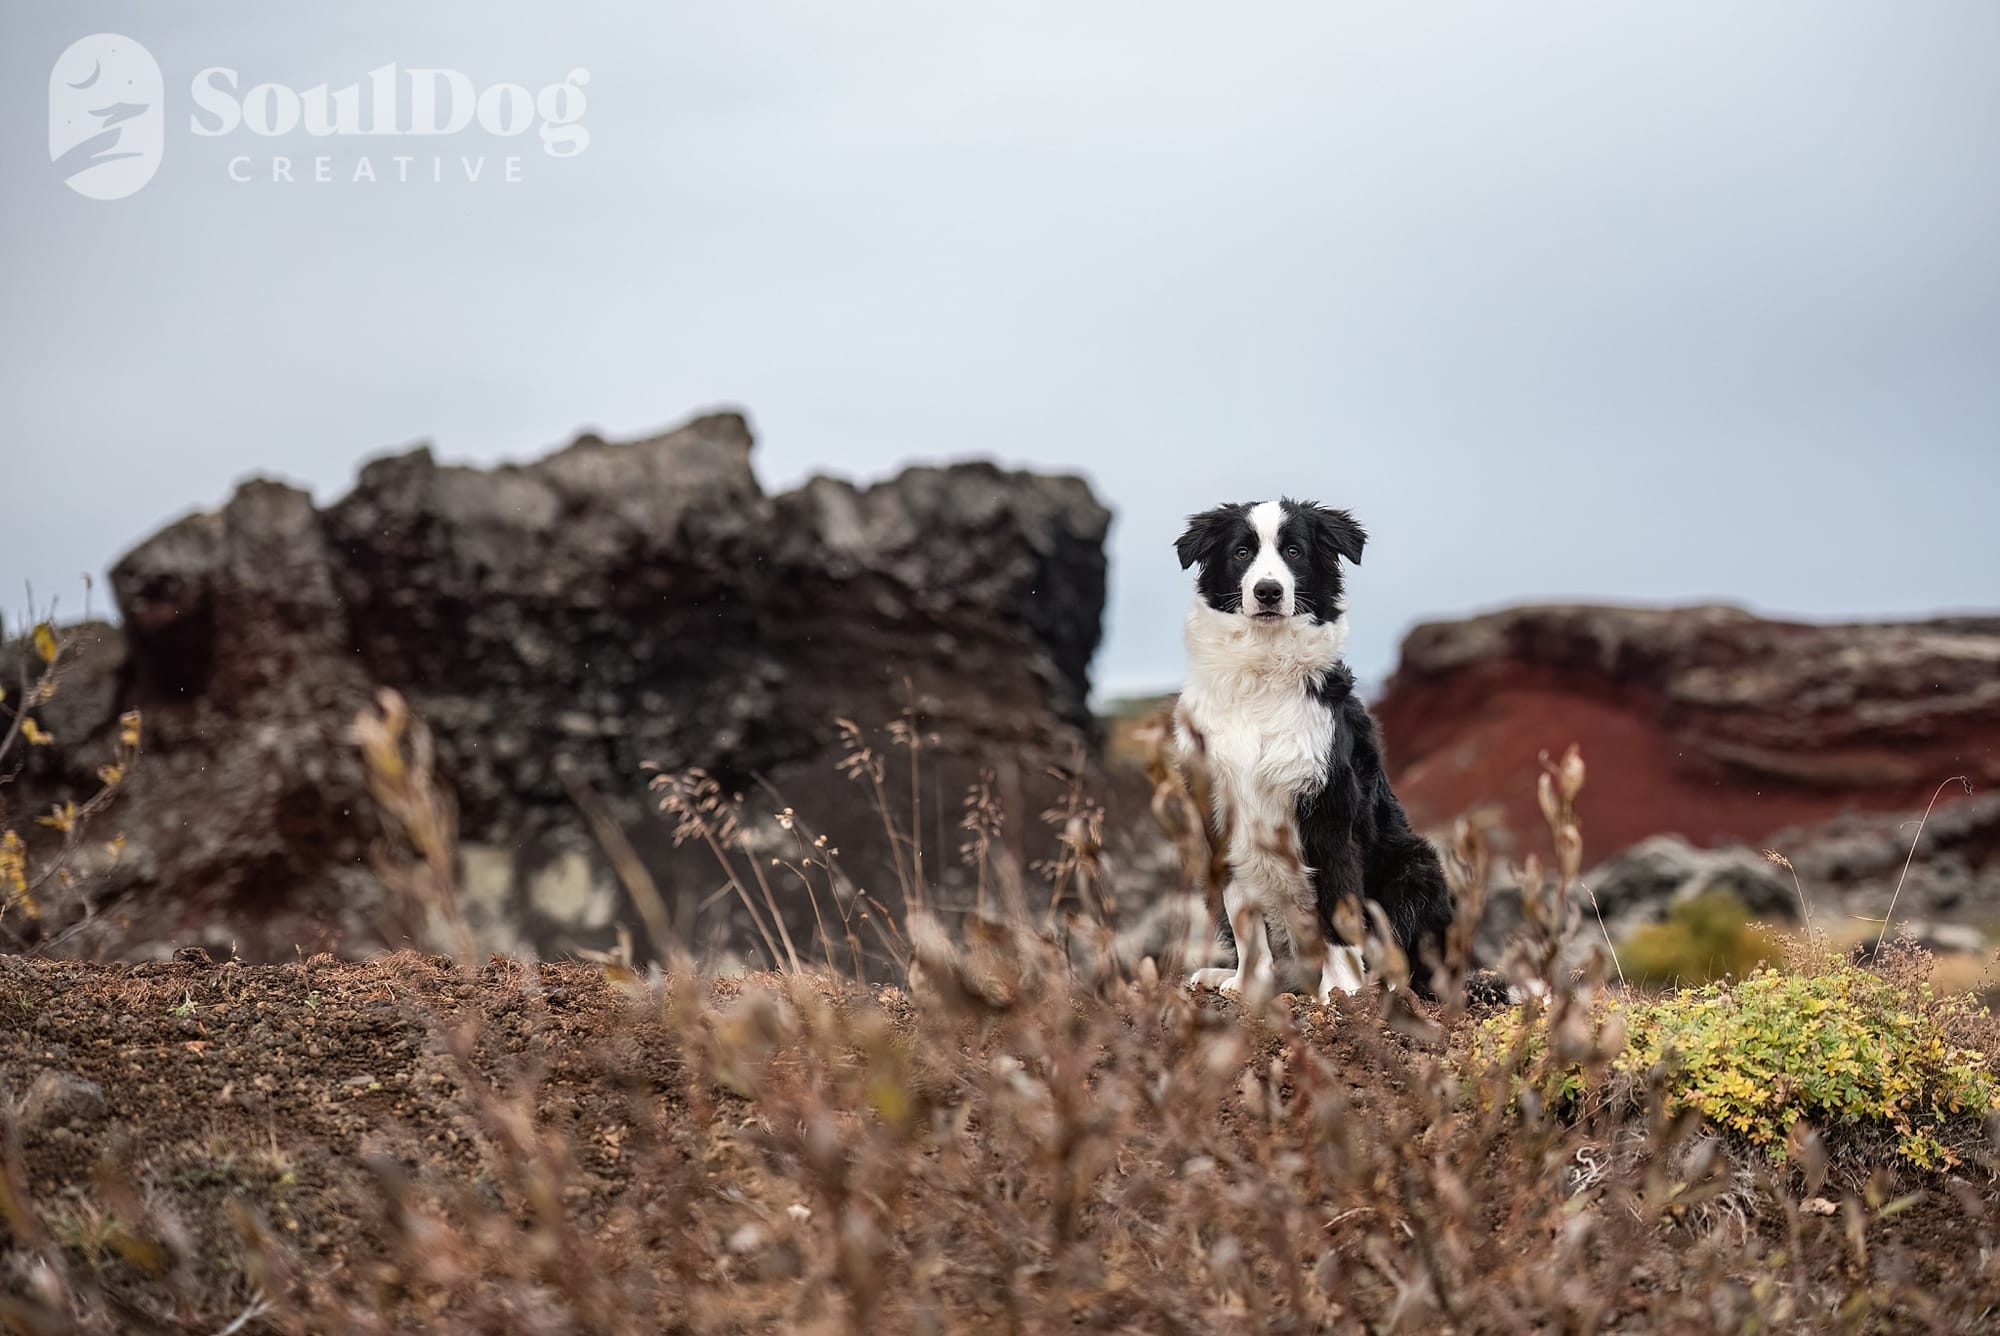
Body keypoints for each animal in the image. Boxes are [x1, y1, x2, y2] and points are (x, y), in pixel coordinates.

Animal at [1171, 498, 1454, 1001]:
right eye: (1241, 552)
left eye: (1294, 551)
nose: (1267, 591)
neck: (1262, 677)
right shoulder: (1221, 813)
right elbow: (1245, 919)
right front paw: (1249, 985)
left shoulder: (1329, 811)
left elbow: (1338, 910)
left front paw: (1341, 991)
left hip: (1415, 864)